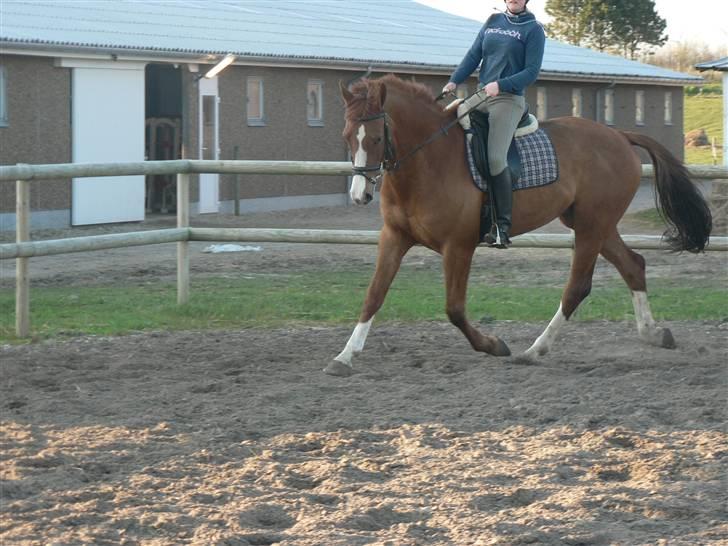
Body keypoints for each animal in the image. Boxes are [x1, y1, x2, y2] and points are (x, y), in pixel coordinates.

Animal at [328, 75, 712, 374]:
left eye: (376, 138)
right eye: (346, 135)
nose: (360, 195)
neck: (428, 162)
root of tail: (618, 135)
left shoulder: (458, 246)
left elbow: (454, 309)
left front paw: (494, 345)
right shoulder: (394, 238)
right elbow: (373, 295)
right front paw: (344, 356)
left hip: (592, 226)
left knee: (578, 287)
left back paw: (534, 350)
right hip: (594, 224)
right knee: (633, 265)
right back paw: (653, 333)